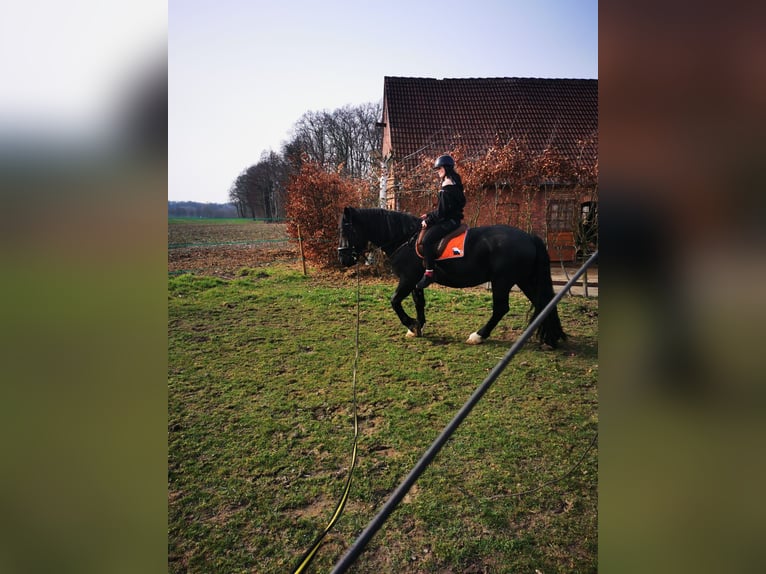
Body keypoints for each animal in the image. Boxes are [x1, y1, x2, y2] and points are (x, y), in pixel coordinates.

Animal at [338, 207, 566, 347]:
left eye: (346, 230)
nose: (343, 258)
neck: (405, 239)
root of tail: (529, 237)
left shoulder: (407, 279)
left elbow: (394, 301)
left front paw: (411, 324)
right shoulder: (415, 282)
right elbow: (418, 302)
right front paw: (418, 326)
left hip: (503, 281)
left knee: (501, 308)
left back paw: (478, 335)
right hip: (525, 280)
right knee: (542, 303)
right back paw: (551, 338)